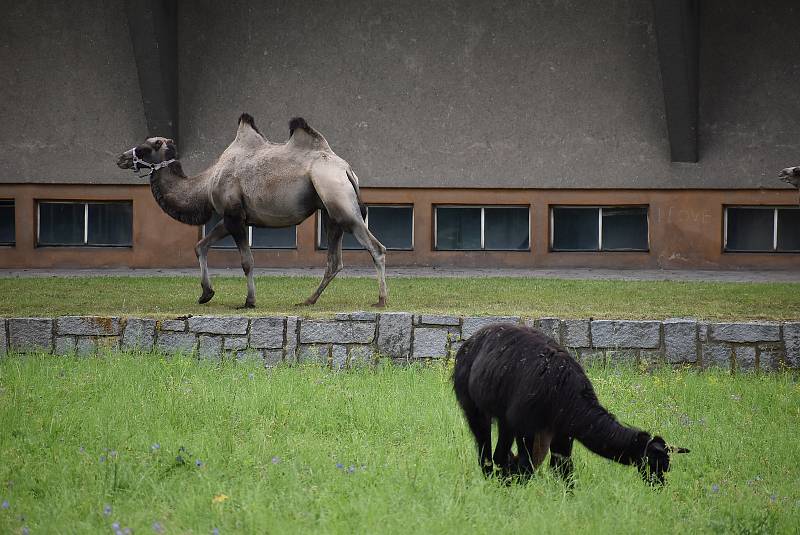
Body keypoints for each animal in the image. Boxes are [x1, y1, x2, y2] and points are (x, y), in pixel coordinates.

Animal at [116, 116, 388, 310]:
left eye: (145, 147)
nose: (121, 158)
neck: (206, 183)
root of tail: (346, 169)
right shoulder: (230, 218)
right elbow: (200, 246)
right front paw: (206, 294)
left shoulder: (234, 216)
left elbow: (247, 262)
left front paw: (249, 301)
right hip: (330, 213)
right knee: (334, 261)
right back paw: (308, 300)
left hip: (339, 200)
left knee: (376, 248)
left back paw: (381, 300)